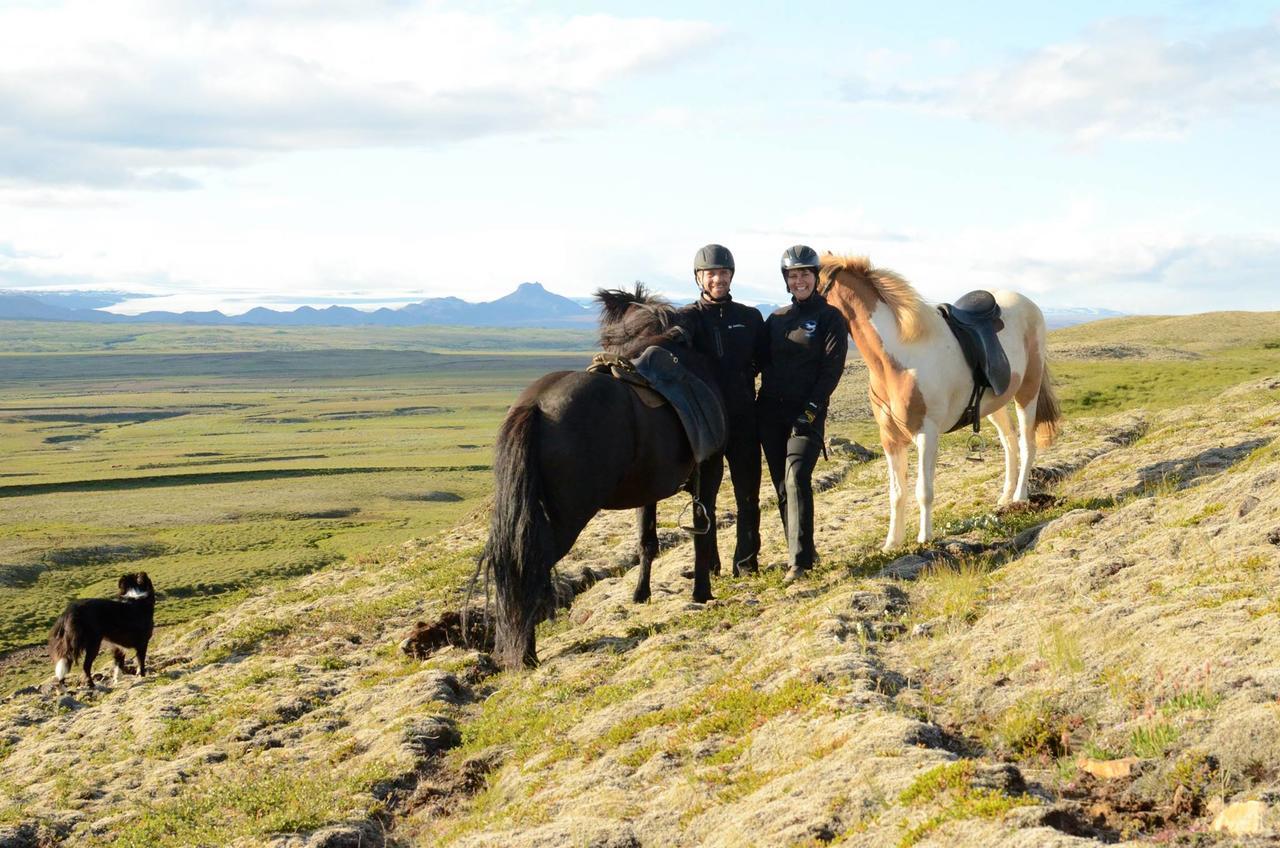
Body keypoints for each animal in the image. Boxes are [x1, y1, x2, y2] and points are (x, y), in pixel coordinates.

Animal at [481, 285, 721, 671]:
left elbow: (647, 540)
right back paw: (526, 654)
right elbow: (702, 529)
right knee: (529, 566)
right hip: (567, 517)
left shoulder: (649, 488)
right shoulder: (711, 466)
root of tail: (535, 405)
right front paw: (702, 590)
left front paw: (641, 594)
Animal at [819, 256, 1059, 555]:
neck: (898, 358)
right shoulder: (890, 439)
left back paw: (1019, 496)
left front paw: (924, 538)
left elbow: (924, 490)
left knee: (1027, 444)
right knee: (1010, 444)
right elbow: (897, 492)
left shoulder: (926, 434)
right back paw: (1004, 497)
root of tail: (1030, 304)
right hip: (996, 405)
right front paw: (892, 543)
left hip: (1027, 393)